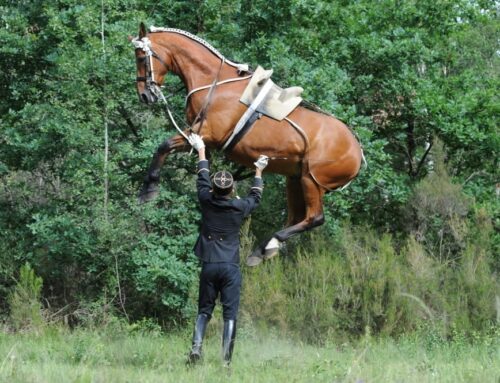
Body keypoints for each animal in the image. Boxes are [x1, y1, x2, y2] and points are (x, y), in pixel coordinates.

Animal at [131, 22, 362, 266]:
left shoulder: (205, 134)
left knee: (315, 217)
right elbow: (171, 151)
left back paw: (264, 248)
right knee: (296, 217)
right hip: (295, 179)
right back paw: (266, 248)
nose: (144, 95)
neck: (212, 82)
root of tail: (358, 152)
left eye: (140, 57)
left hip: (312, 180)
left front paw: (148, 190)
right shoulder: (199, 138)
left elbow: (164, 145)